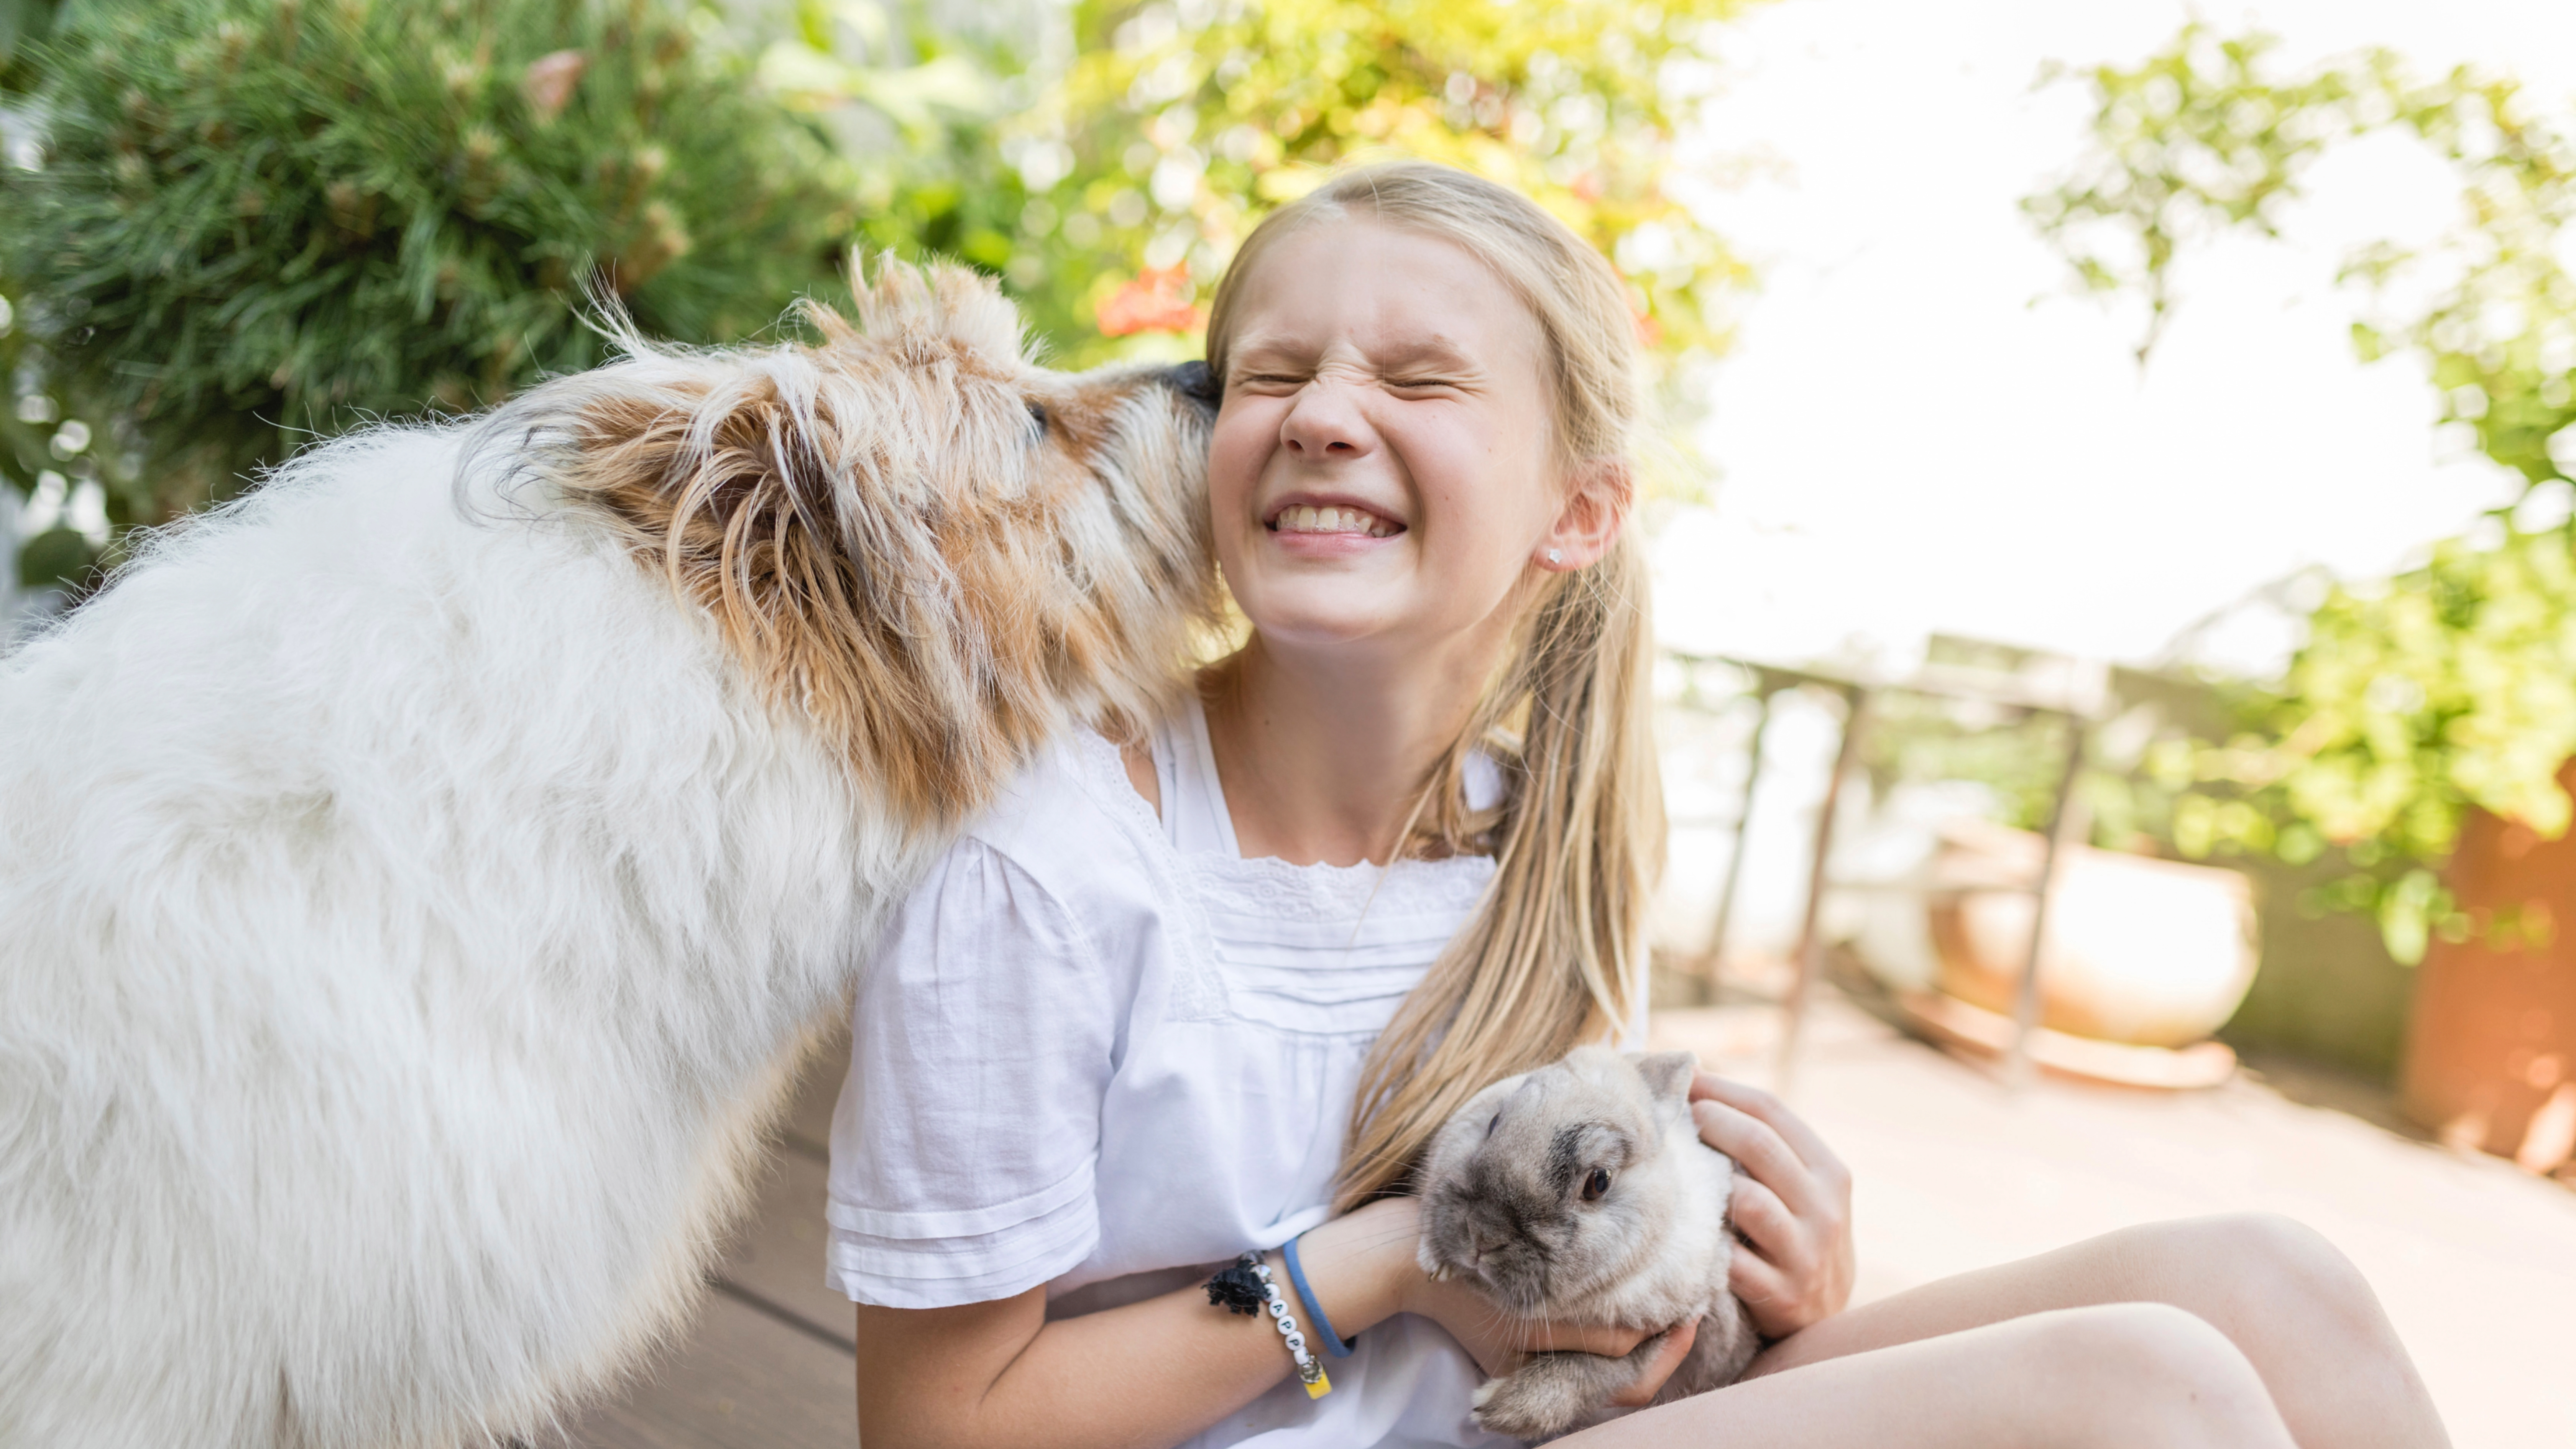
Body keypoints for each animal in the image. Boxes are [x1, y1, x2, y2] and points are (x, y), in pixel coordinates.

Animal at [1422, 1042, 1762, 1433]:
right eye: (1494, 1122)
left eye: (1599, 1182)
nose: (1482, 1233)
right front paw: (1435, 1261)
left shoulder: (1675, 1332)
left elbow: (1593, 1369)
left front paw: (1500, 1410)